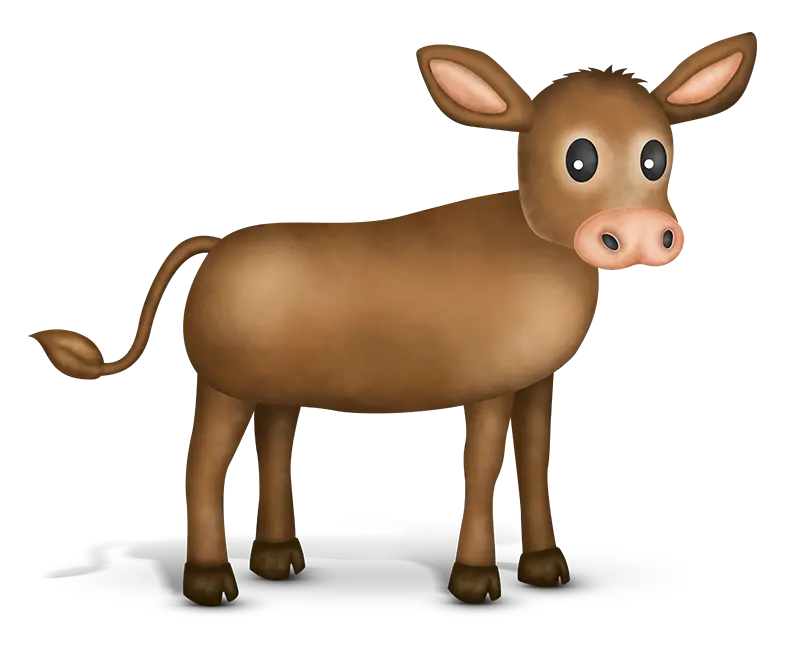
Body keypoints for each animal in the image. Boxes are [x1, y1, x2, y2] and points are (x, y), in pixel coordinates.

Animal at [30, 33, 758, 607]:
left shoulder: (537, 382)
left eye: (655, 156)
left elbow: (538, 461)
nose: (639, 235)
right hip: (220, 382)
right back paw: (212, 585)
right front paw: (476, 585)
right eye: (579, 158)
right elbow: (484, 470)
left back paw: (279, 563)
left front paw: (549, 570)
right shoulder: (485, 384)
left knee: (274, 446)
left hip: (275, 387)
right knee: (201, 465)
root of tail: (216, 243)